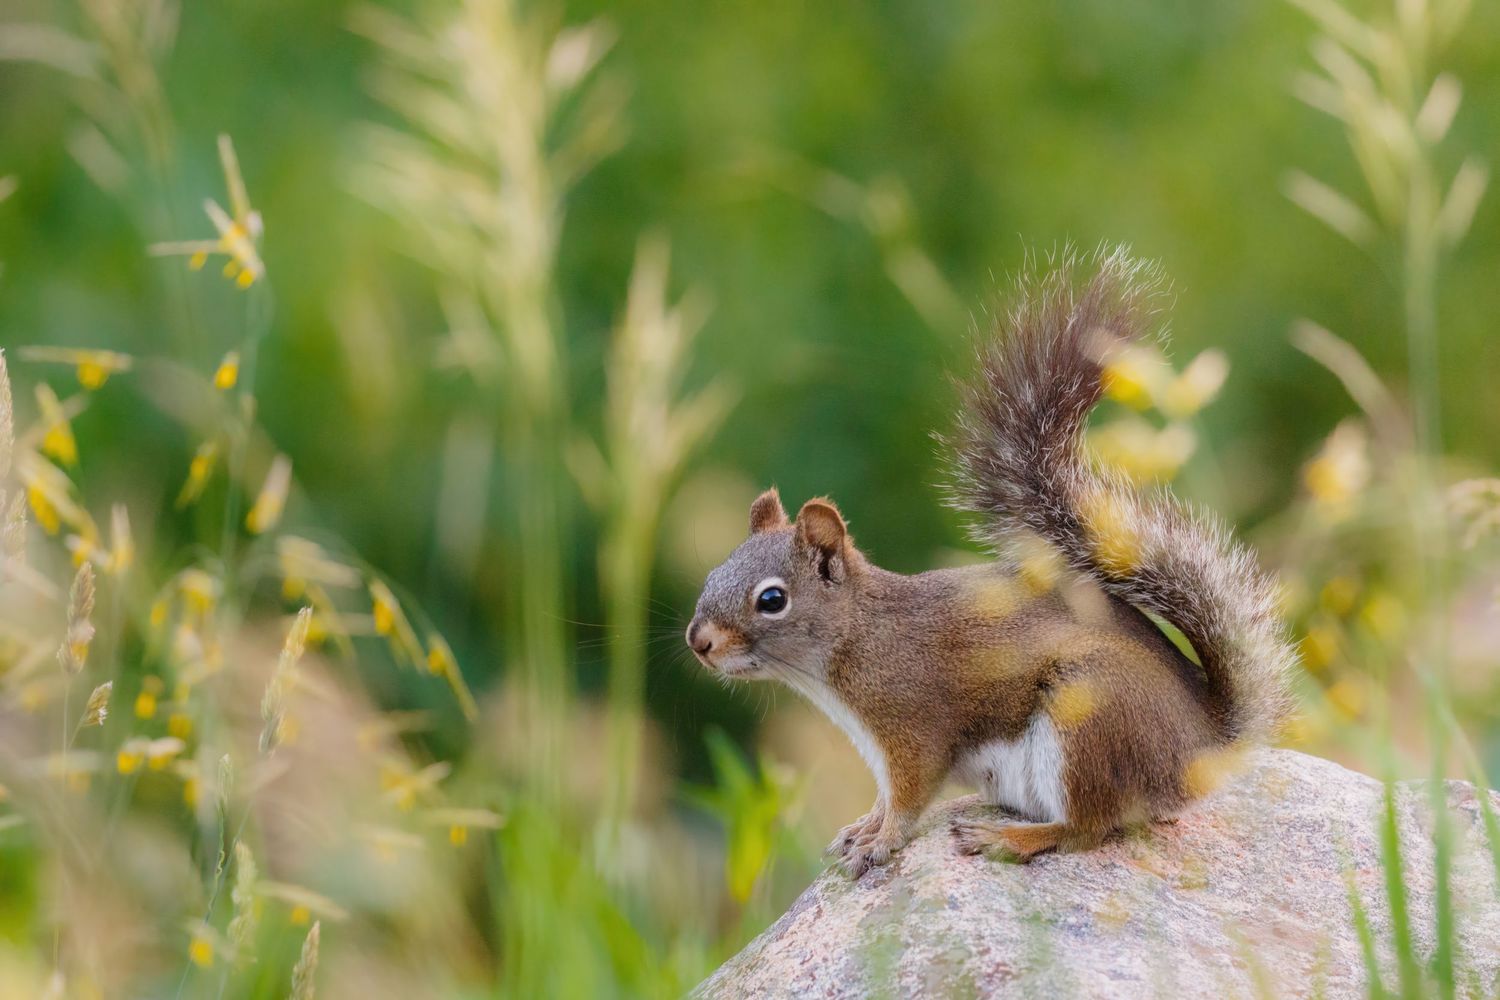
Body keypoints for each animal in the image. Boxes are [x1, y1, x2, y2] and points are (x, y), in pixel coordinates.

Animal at [685, 247, 1295, 875]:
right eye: (713, 573)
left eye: (772, 599)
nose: (698, 642)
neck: (856, 640)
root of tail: (1200, 750)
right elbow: (882, 798)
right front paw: (862, 829)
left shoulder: (913, 729)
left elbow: (908, 796)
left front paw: (881, 842)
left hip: (1089, 719)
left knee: (1089, 827)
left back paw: (1009, 838)